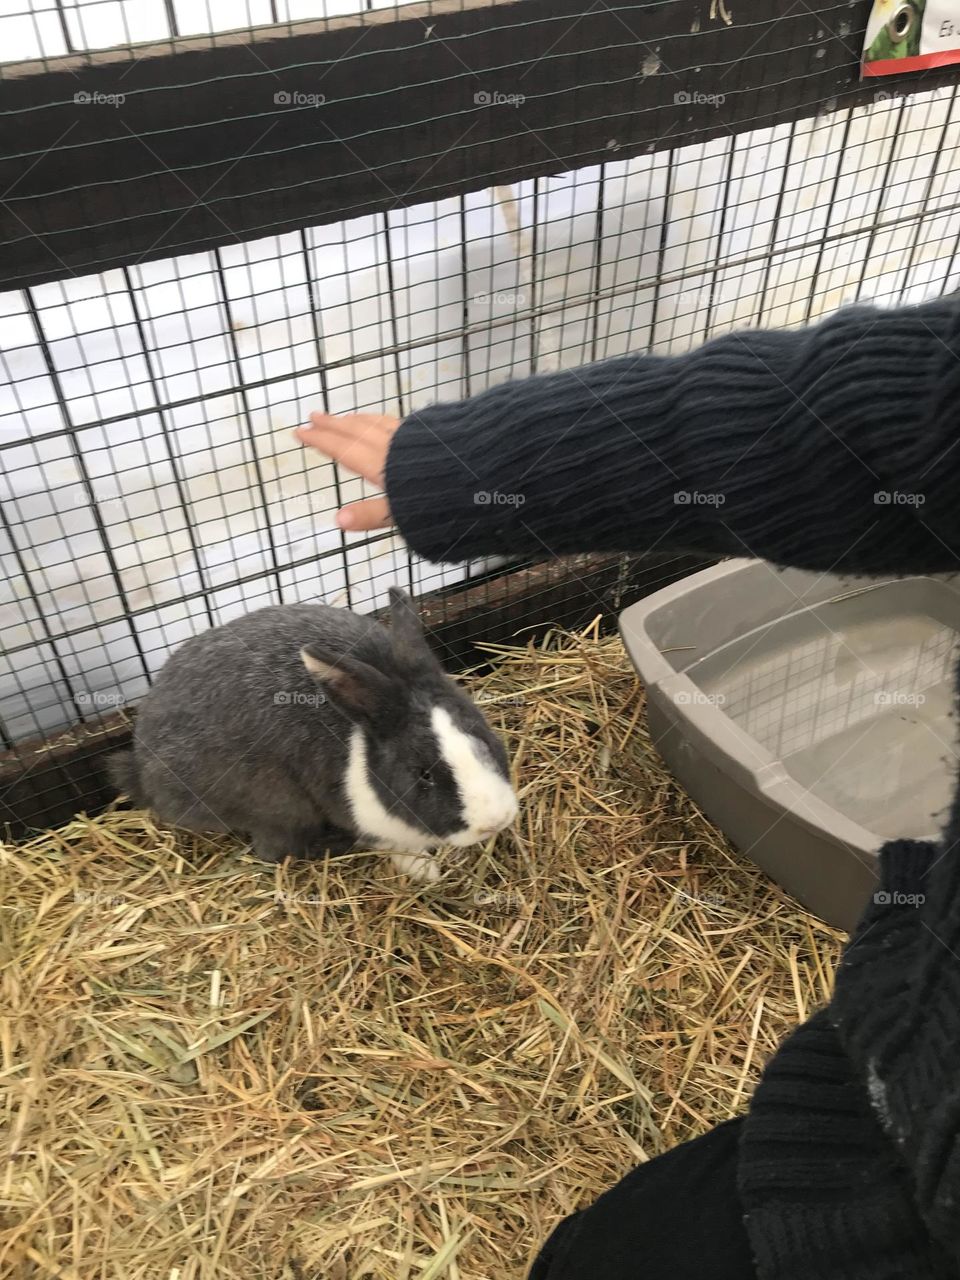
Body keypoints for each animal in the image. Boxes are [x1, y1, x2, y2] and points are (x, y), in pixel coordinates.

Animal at [106, 588, 518, 882]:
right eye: (424, 774)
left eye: (485, 739)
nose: (494, 822)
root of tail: (142, 772)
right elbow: (391, 843)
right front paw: (424, 870)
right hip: (277, 803)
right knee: (274, 849)